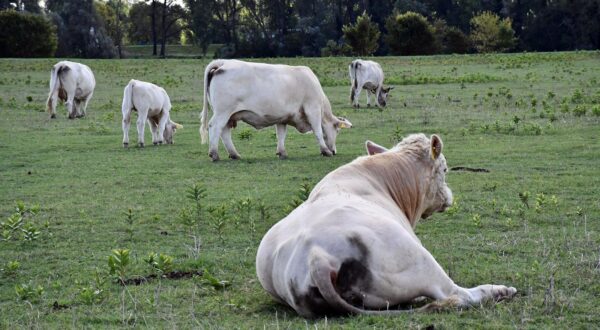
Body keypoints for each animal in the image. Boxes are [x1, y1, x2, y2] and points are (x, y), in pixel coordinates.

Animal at [199, 61, 354, 162]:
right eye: (337, 130)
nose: (334, 151)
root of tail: (223, 63)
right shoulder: (313, 109)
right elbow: (318, 131)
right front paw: (325, 151)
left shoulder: (282, 118)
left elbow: (281, 135)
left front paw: (282, 152)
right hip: (222, 112)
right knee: (215, 127)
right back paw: (214, 154)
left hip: (229, 115)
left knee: (224, 132)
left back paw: (234, 154)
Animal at [255, 133, 516, 318]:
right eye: (444, 169)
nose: (448, 197)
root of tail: (316, 256)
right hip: (418, 259)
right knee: (456, 294)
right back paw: (499, 291)